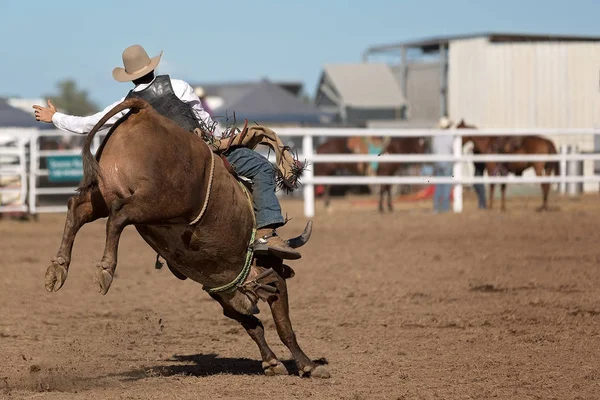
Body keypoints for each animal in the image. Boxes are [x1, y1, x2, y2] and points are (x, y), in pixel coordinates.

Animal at [44, 98, 330, 380]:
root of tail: (144, 110)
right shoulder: (271, 278)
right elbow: (283, 325)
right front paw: (308, 365)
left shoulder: (221, 291)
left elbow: (253, 326)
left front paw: (271, 362)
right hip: (159, 202)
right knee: (118, 215)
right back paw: (105, 270)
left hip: (103, 194)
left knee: (77, 208)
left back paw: (58, 268)